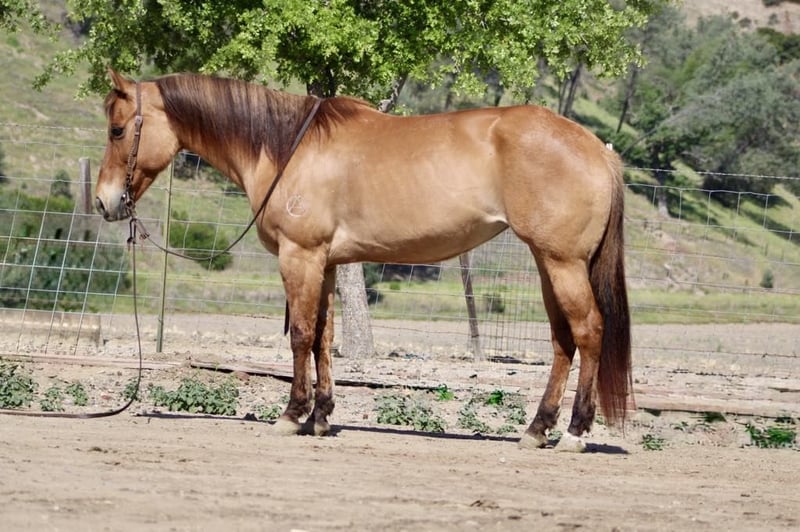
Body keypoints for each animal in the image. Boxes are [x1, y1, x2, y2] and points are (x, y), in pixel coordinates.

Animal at [96, 69, 631, 452]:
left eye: (118, 129)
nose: (105, 202)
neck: (287, 148)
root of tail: (598, 150)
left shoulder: (300, 257)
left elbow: (301, 336)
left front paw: (291, 415)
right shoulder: (328, 263)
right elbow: (323, 338)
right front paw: (320, 417)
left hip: (562, 263)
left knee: (588, 332)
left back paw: (575, 433)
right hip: (548, 264)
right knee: (563, 341)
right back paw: (537, 429)